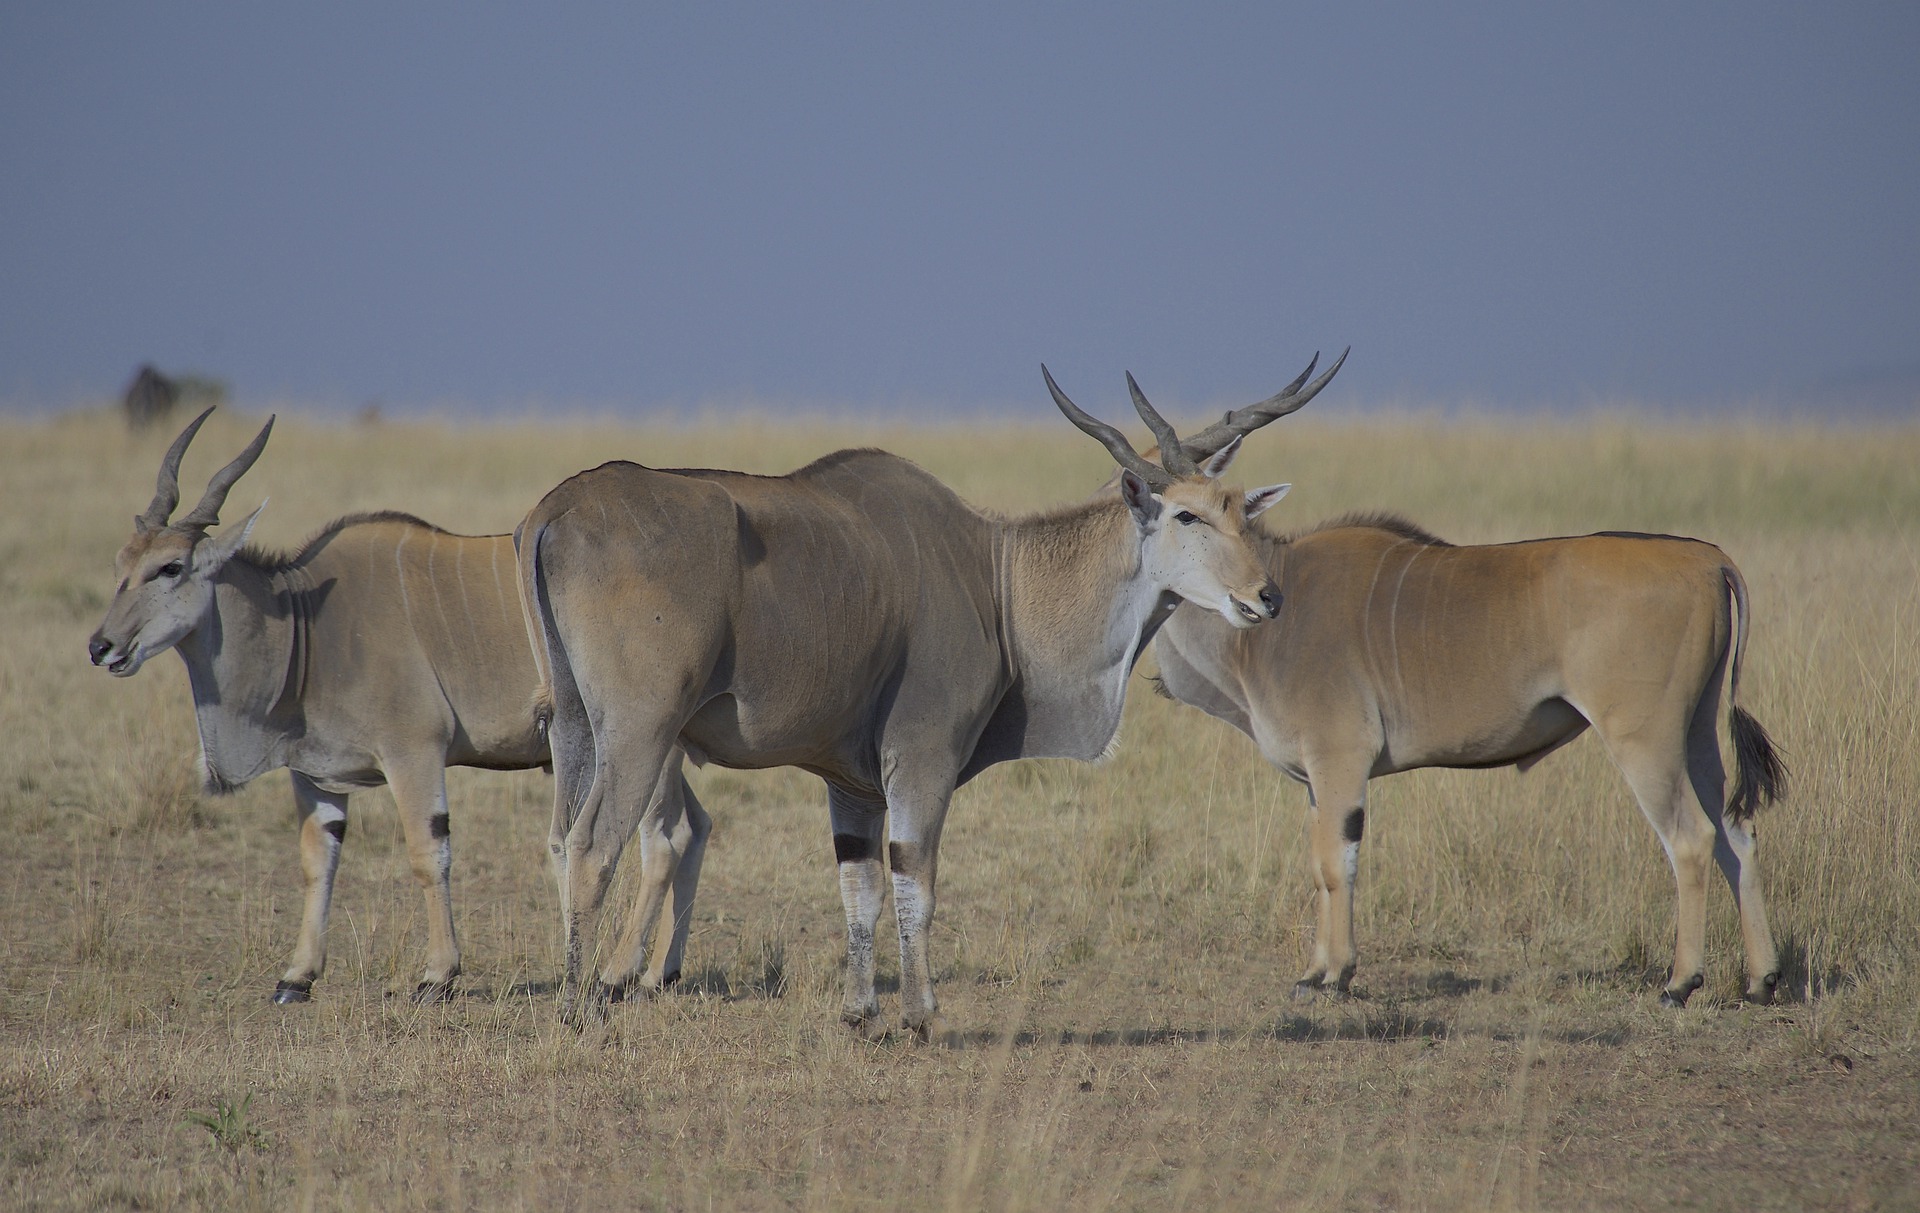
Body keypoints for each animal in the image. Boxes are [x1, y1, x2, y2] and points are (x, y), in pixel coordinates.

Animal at [88, 408, 711, 1004]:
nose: (101, 647)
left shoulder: (413, 753)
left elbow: (426, 853)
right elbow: (318, 860)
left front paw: (438, 975)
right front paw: (297, 976)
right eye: (120, 565)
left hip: (644, 745)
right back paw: (659, 973)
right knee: (694, 828)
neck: (309, 624)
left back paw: (620, 974)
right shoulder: (315, 773)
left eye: (170, 567)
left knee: (663, 841)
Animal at [516, 354, 1340, 1034]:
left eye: (1240, 509)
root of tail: (559, 508)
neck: (999, 575)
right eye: (1186, 513)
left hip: (576, 726)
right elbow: (916, 876)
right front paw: (920, 1012)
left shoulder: (851, 785)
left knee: (559, 839)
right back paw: (579, 1005)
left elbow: (860, 886)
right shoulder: (923, 756)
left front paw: (860, 1011)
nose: (1266, 596)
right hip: (641, 730)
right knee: (593, 845)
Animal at [1145, 411, 1787, 1007]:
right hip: (1697, 735)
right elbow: (1323, 863)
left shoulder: (1341, 761)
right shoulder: (1319, 780)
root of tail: (1707, 559)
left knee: (1691, 839)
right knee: (1737, 834)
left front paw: (1333, 976)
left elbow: (1335, 863)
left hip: (1645, 740)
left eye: (1182, 511)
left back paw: (1679, 983)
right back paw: (1761, 980)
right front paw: (1317, 971)